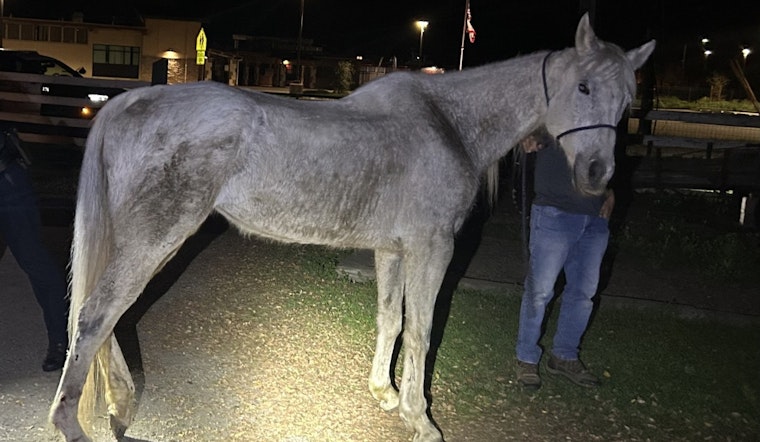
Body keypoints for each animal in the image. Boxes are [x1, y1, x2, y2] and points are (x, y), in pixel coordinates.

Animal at [50, 13, 654, 442]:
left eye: (627, 100)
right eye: (582, 88)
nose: (597, 175)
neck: (448, 125)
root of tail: (130, 100)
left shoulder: (393, 250)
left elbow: (390, 319)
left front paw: (384, 394)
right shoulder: (432, 250)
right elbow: (422, 330)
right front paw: (420, 418)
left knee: (106, 320)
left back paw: (119, 406)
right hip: (154, 241)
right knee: (98, 317)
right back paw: (74, 424)